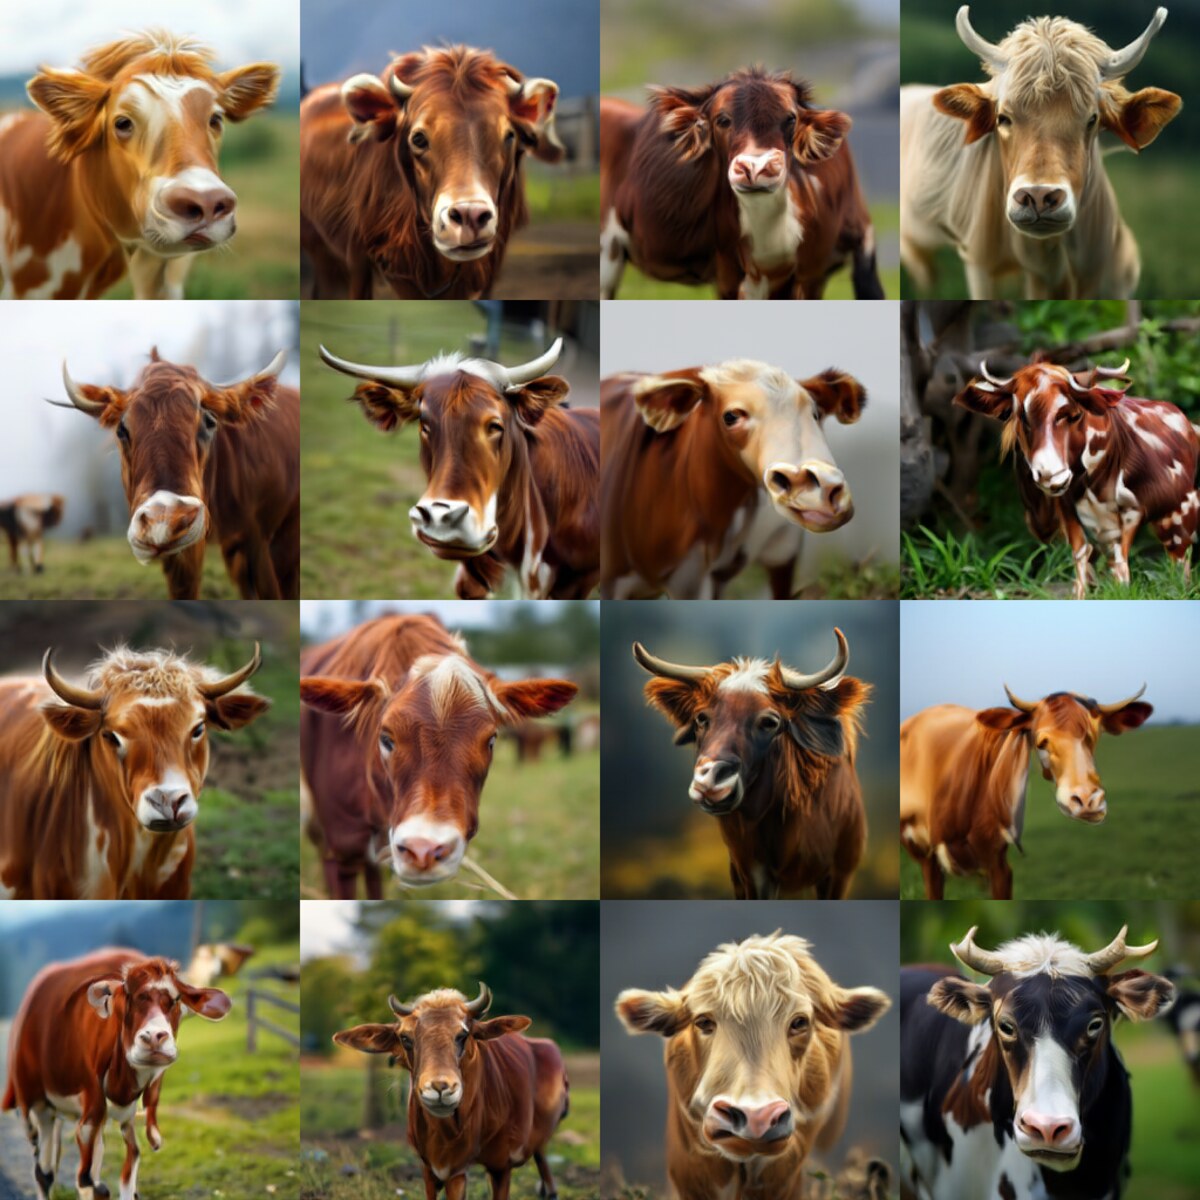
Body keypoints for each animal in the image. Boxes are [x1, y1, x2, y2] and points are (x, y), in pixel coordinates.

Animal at [1, 948, 231, 1200]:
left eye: (176, 999)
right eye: (128, 998)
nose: (153, 1037)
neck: (123, 1084)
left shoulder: (127, 1115)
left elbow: (130, 1165)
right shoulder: (89, 1107)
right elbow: (85, 1179)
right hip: (34, 1099)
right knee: (44, 1170)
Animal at [954, 358, 1200, 598]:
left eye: (1072, 414)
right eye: (1022, 416)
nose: (1049, 474)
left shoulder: (1137, 514)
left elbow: (1123, 569)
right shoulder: (1070, 512)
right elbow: (1082, 557)